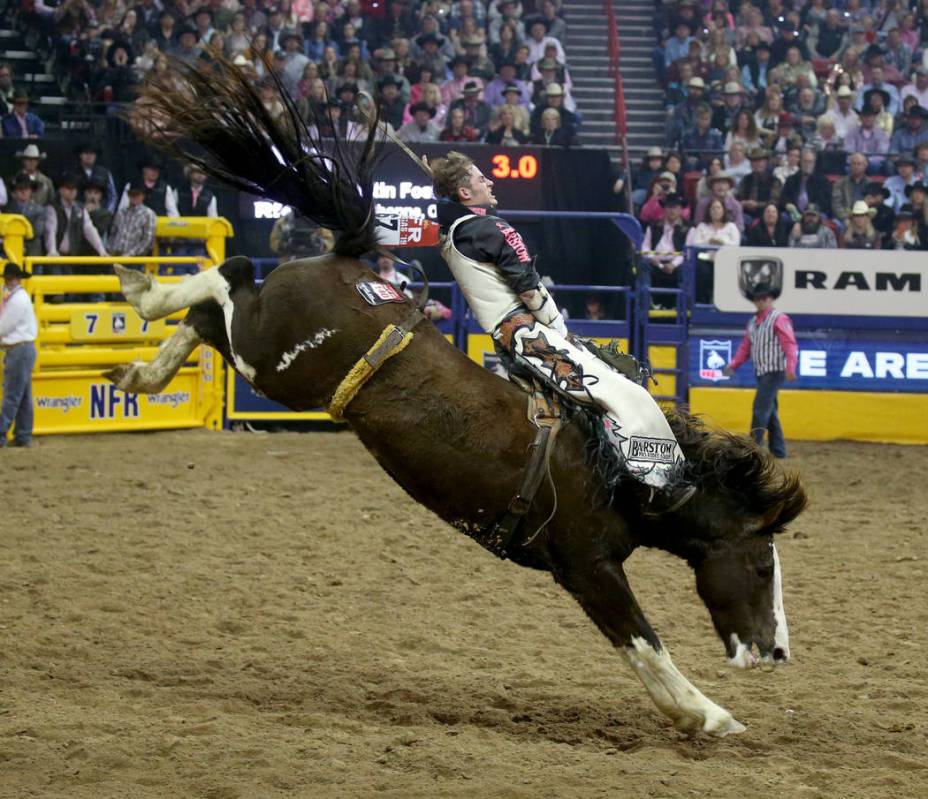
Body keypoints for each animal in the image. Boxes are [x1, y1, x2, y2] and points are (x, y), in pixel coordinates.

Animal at [107, 56, 804, 736]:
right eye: (762, 566)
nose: (777, 652)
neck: (616, 466)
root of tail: (346, 259)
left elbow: (638, 646)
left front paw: (695, 713)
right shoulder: (587, 565)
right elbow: (644, 643)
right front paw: (710, 714)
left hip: (267, 361)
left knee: (209, 314)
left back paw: (140, 372)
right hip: (275, 360)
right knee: (227, 279)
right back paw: (143, 290)